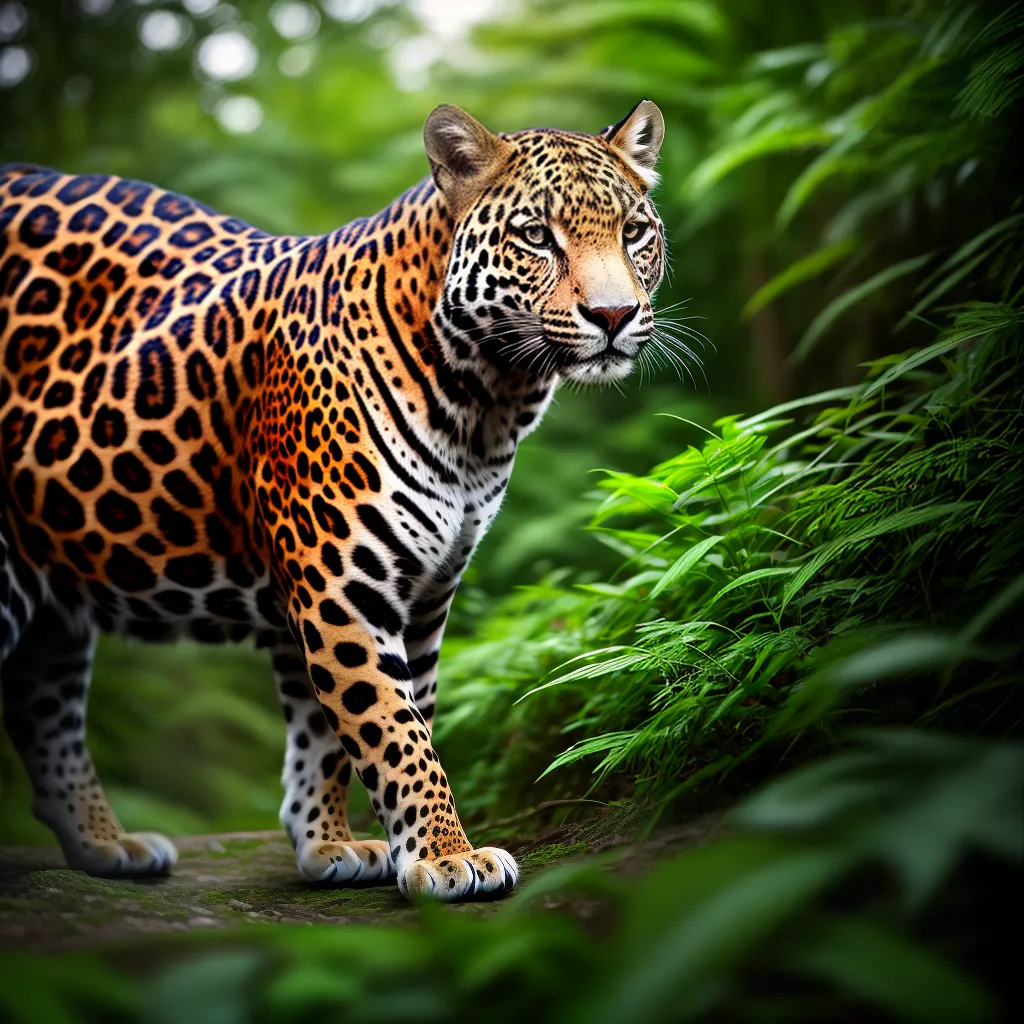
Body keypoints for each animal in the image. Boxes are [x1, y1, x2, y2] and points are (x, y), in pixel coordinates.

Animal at [0, 100, 666, 902]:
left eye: (635, 231)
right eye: (537, 236)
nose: (614, 315)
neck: (488, 401)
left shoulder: (419, 593)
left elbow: (347, 729)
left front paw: (331, 844)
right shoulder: (340, 583)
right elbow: (392, 726)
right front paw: (446, 853)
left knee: (44, 708)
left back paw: (106, 846)